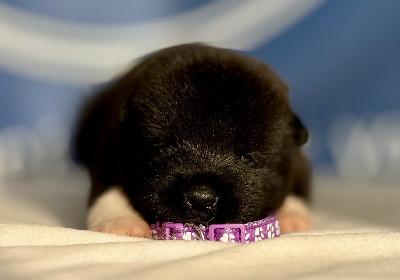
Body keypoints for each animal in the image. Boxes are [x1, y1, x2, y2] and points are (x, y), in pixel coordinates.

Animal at [75, 44, 312, 238]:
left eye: (247, 157)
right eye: (164, 148)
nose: (201, 198)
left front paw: (292, 216)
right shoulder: (108, 148)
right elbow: (108, 190)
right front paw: (122, 223)